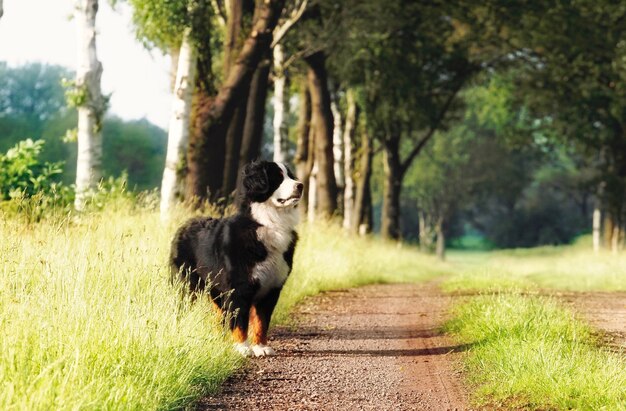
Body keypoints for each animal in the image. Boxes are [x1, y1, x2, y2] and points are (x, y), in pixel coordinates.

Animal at [168, 161, 300, 358]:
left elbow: (261, 322)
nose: (301, 185)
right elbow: (239, 321)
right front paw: (242, 347)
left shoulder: (272, 288)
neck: (269, 223)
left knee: (219, 316)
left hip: (215, 289)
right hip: (186, 284)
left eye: (291, 176)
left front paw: (261, 347)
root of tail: (184, 225)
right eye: (278, 177)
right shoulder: (239, 287)